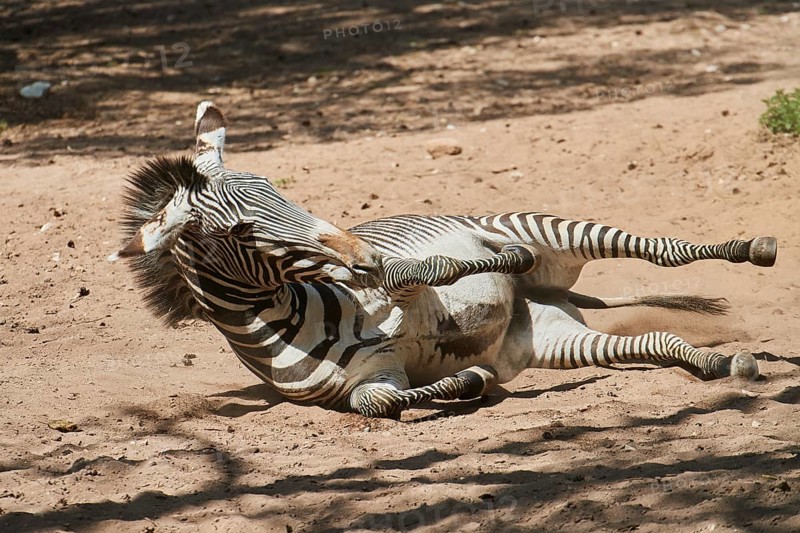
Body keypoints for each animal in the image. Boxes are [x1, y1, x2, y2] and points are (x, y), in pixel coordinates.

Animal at [113, 101, 778, 419]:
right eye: (243, 230)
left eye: (276, 187)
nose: (356, 250)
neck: (294, 319)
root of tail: (548, 296)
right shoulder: (370, 385)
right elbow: (387, 402)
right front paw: (470, 381)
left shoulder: (392, 281)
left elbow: (415, 270)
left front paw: (495, 263)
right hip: (554, 340)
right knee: (657, 342)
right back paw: (723, 363)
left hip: (551, 230)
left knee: (663, 252)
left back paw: (749, 249)